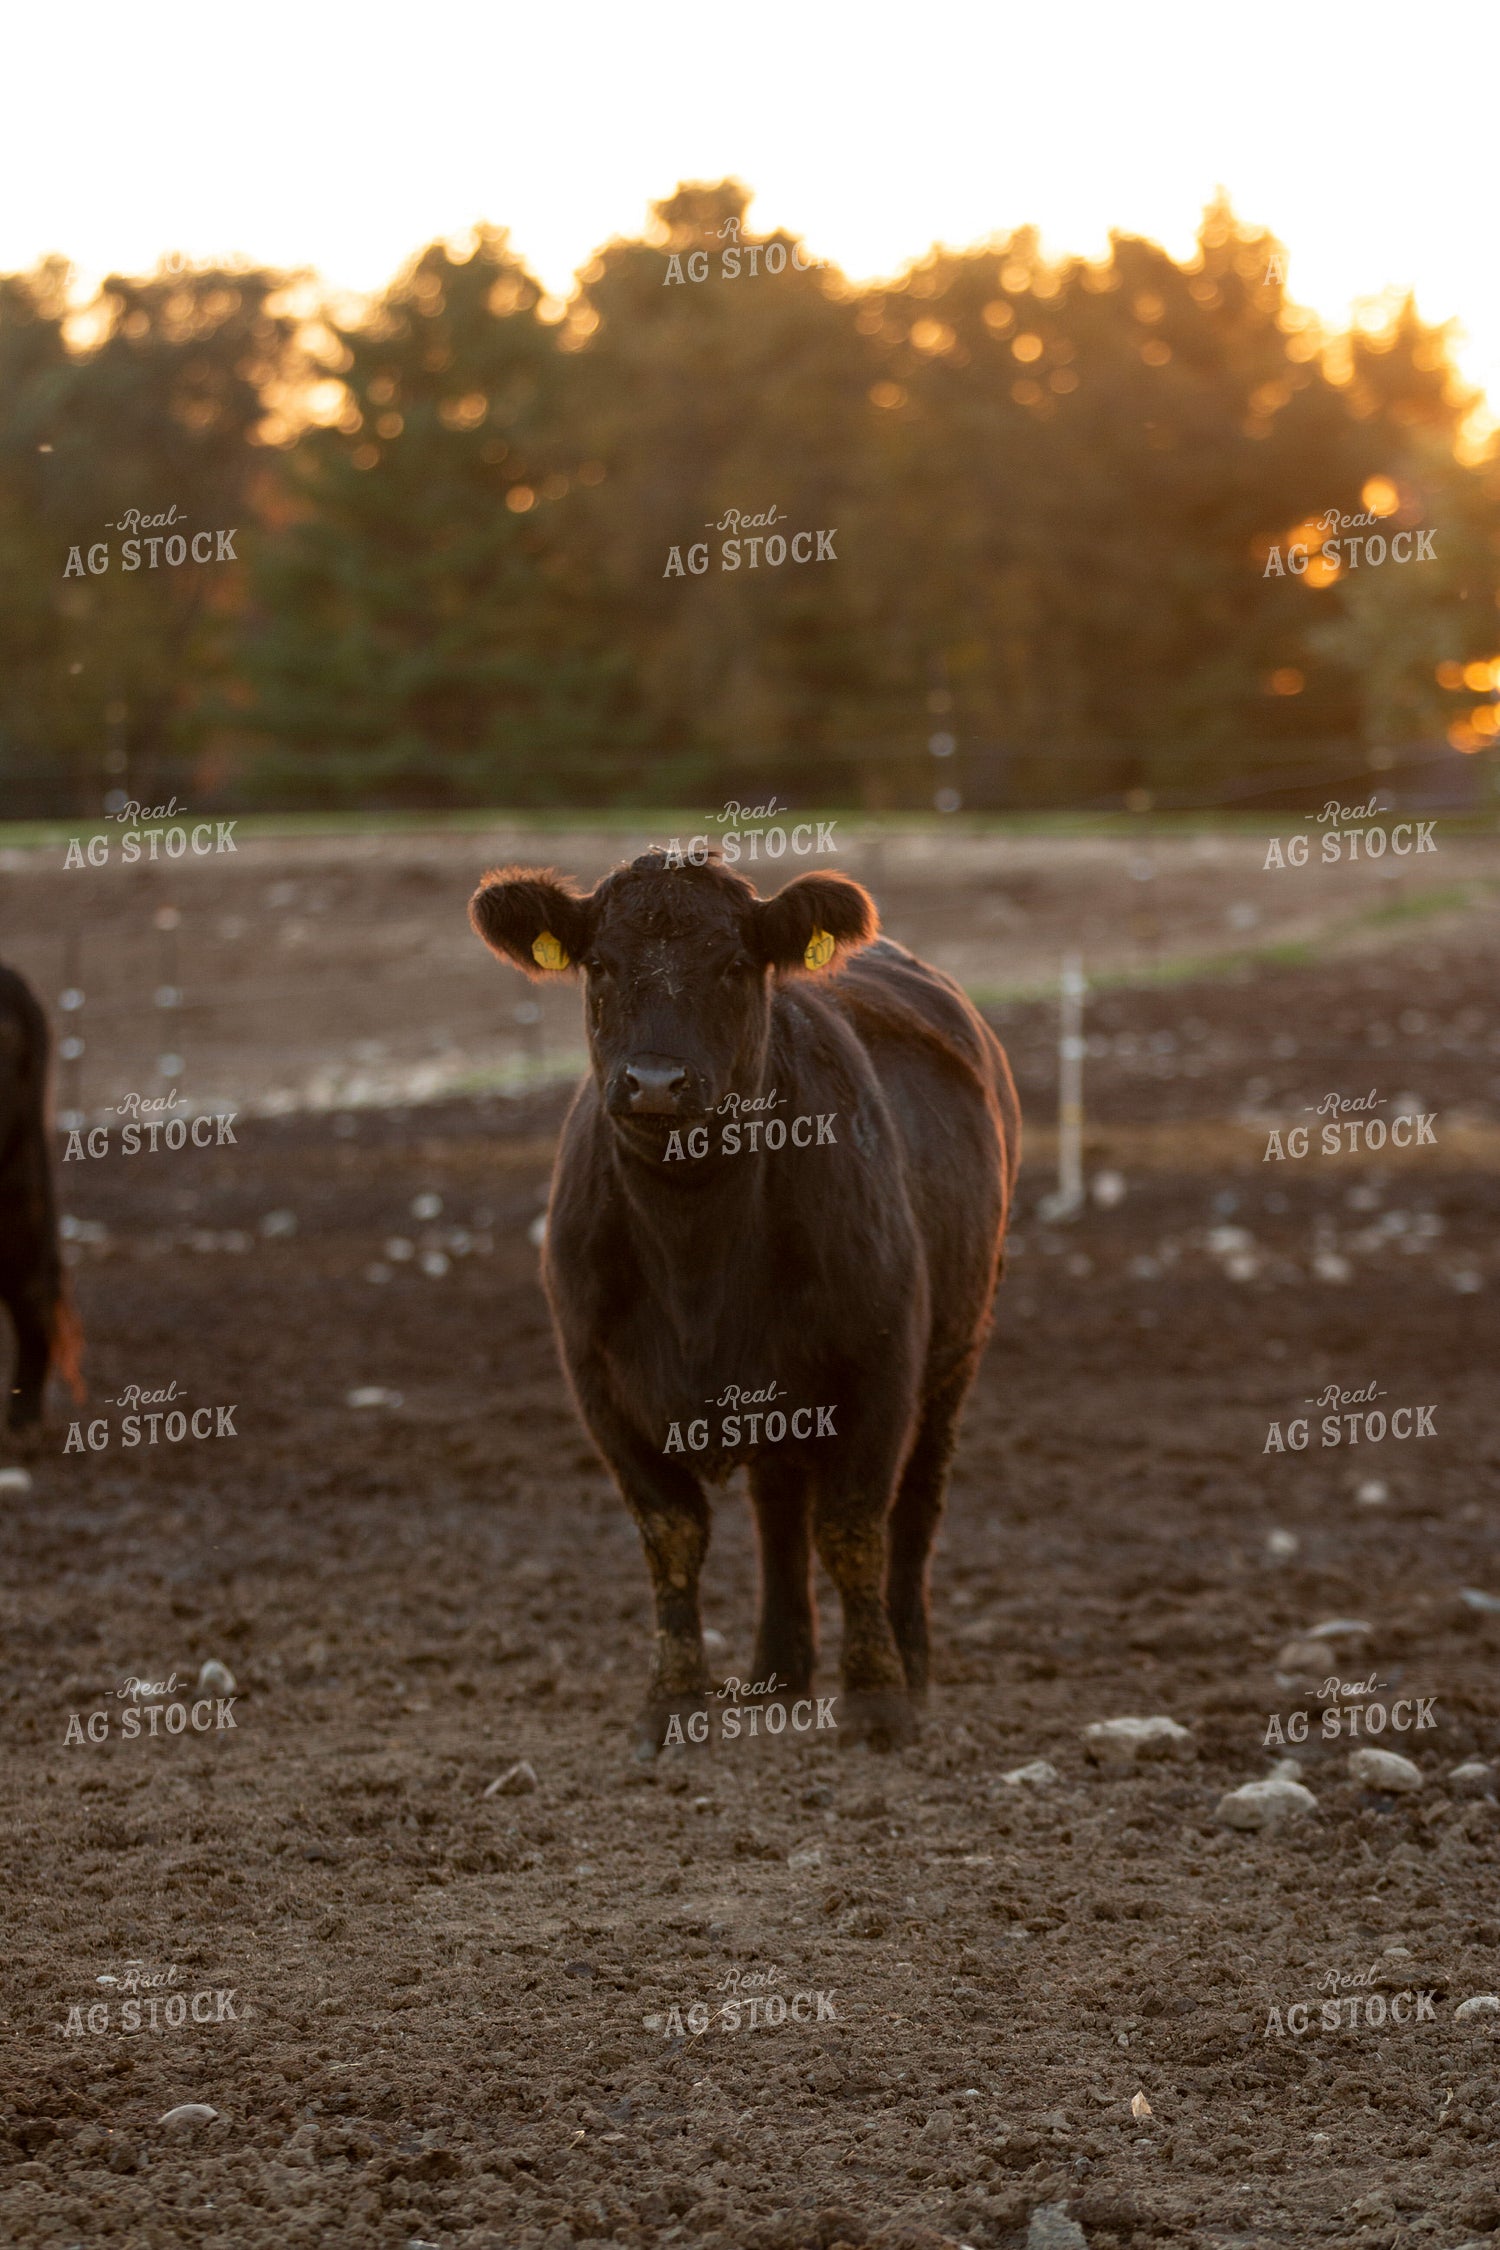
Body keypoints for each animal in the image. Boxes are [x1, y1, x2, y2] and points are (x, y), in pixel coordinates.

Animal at [468, 850, 1019, 1754]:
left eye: (732, 965)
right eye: (600, 964)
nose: (655, 1082)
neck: (695, 1245)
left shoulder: (878, 1368)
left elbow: (853, 1528)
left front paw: (877, 1699)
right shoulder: (599, 1386)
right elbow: (673, 1537)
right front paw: (672, 1701)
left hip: (955, 1353)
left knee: (914, 1509)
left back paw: (910, 1662)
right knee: (778, 1513)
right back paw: (777, 1670)